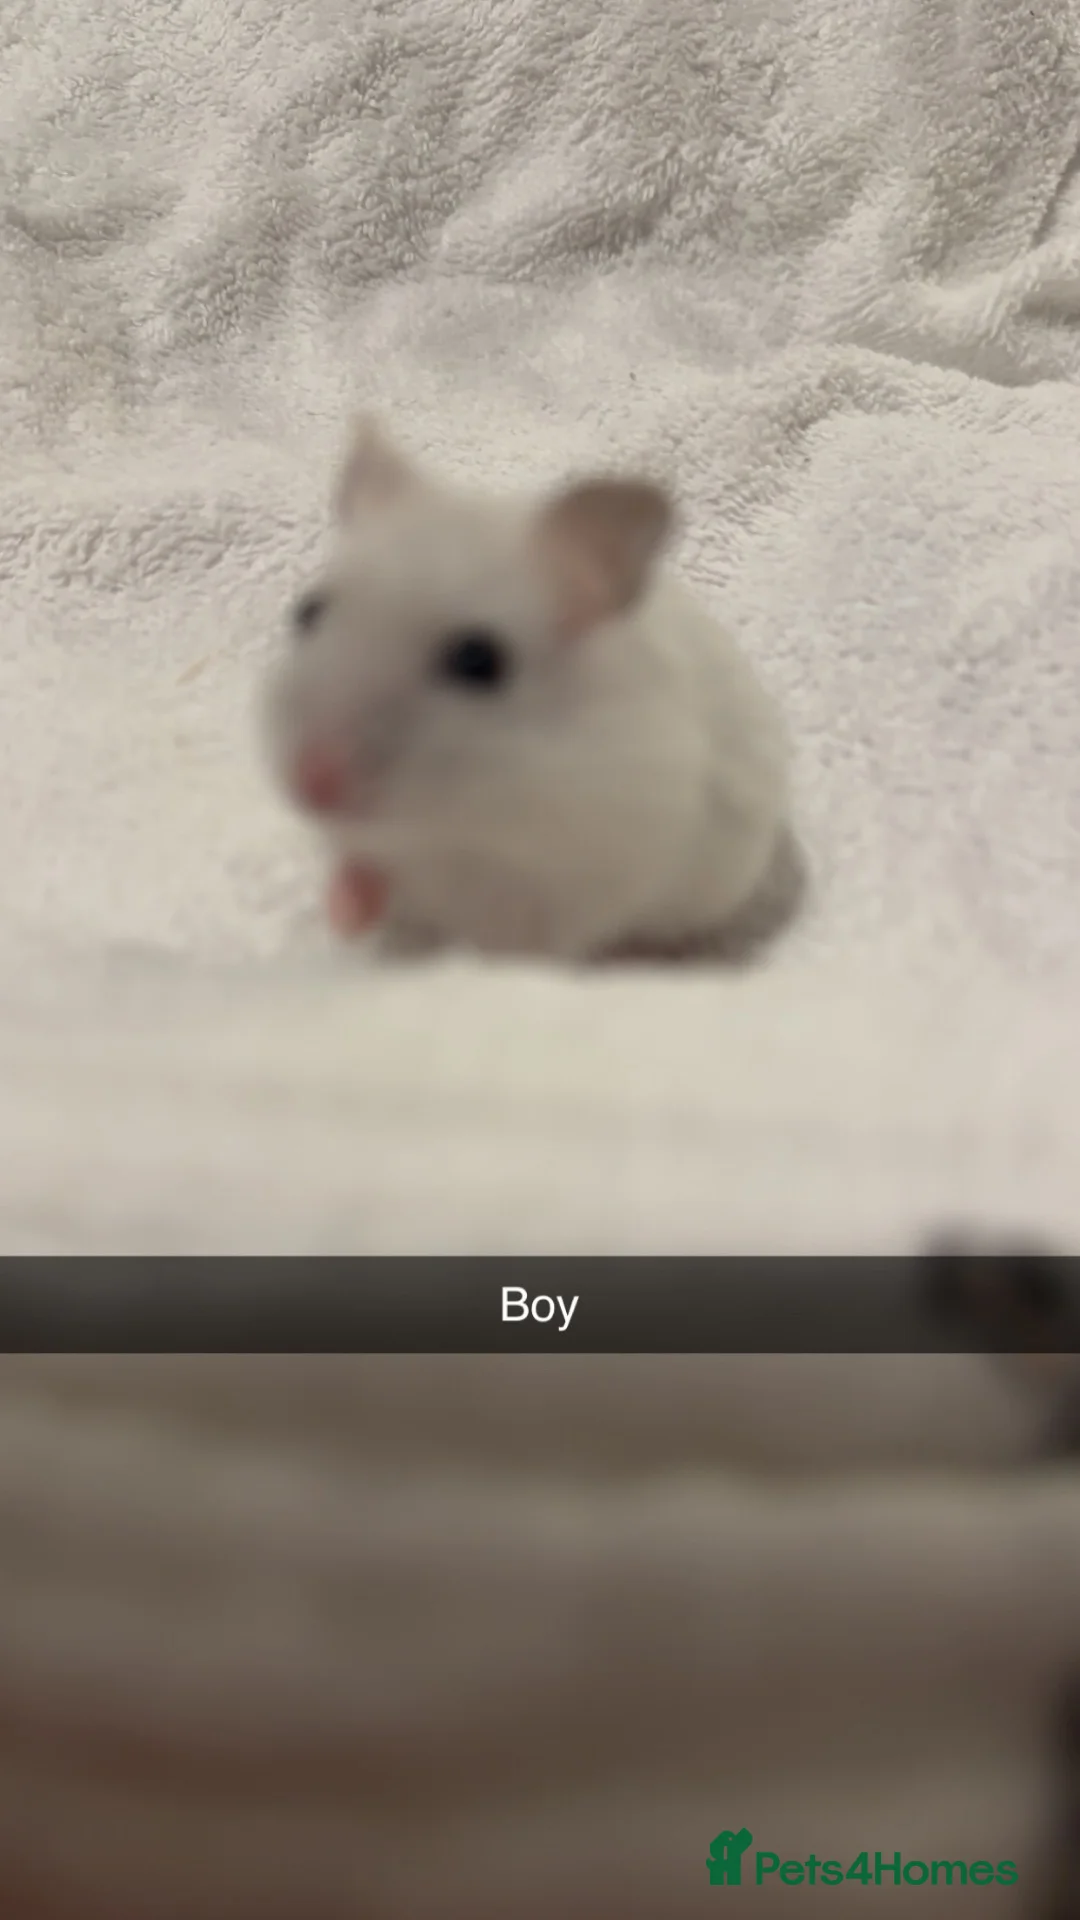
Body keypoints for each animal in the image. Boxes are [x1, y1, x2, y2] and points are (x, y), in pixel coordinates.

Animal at [262, 418, 790, 962]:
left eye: (479, 660)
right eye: (307, 612)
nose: (312, 786)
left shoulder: (588, 879)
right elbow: (358, 866)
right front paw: (347, 918)